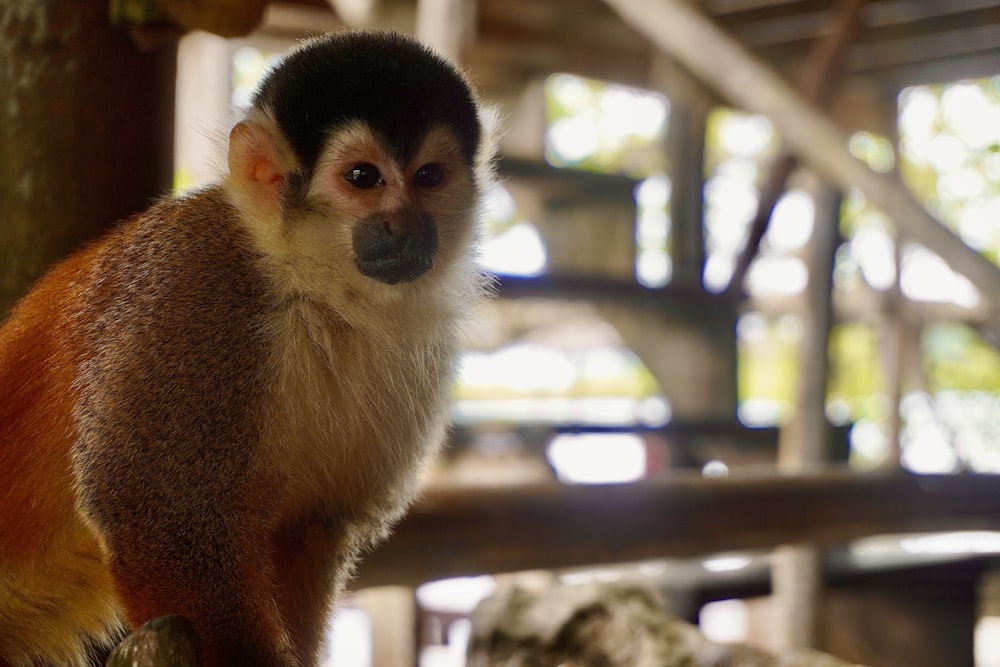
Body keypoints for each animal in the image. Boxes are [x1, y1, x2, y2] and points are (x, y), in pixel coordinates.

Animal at [0, 28, 492, 664]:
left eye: (429, 176)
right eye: (364, 178)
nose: (405, 226)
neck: (314, 288)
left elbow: (309, 527)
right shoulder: (191, 293)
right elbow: (163, 519)